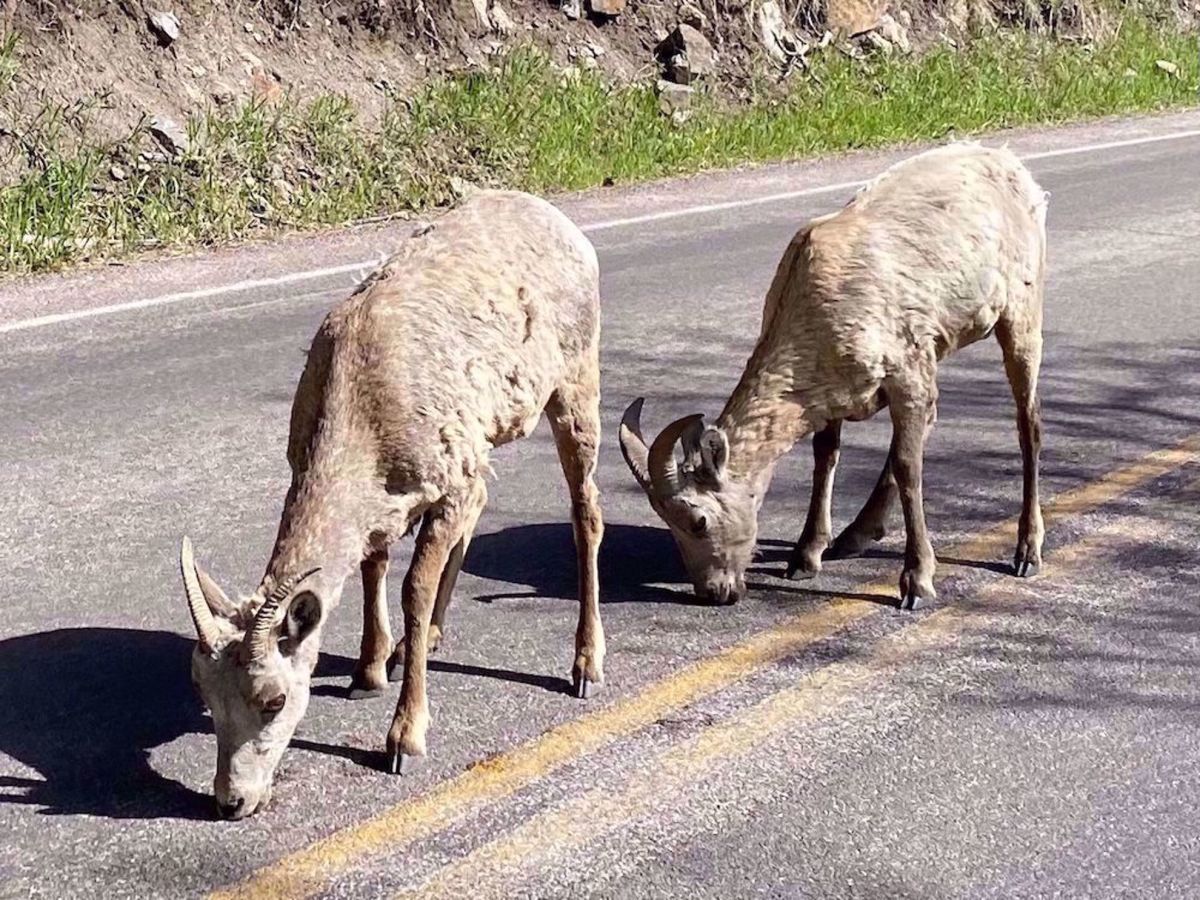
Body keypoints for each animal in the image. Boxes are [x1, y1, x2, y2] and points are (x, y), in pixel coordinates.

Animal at [178, 190, 606, 819]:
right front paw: (370, 670)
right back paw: (419, 645)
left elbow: (413, 590)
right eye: (206, 696)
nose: (231, 801)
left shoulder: (449, 485)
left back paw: (585, 667)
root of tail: (563, 224)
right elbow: (372, 567)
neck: (362, 404)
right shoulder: (398, 500)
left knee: (586, 514)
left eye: (275, 699)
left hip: (574, 393)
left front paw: (404, 739)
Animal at [619, 143, 1047, 609]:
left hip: (1021, 317)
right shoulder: (835, 394)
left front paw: (916, 583)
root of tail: (1014, 169)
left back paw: (1027, 552)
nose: (715, 592)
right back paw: (853, 537)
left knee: (1028, 424)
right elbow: (826, 457)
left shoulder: (907, 375)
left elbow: (907, 466)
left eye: (698, 520)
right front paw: (805, 558)